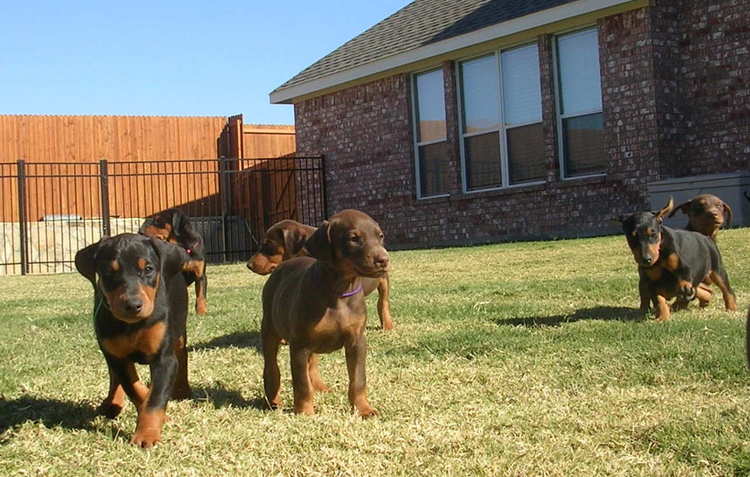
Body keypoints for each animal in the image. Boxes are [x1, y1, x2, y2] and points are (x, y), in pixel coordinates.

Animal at [75, 234, 201, 446]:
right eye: (108, 271)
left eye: (148, 269)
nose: (133, 305)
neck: (132, 325)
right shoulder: (118, 357)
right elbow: (135, 389)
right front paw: (152, 421)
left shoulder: (163, 359)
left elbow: (155, 397)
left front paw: (146, 435)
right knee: (114, 375)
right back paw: (112, 403)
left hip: (179, 331)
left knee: (182, 355)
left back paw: (182, 390)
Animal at [262, 209, 390, 416]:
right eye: (354, 238)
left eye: (380, 236)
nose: (384, 260)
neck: (340, 290)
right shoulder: (299, 345)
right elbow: (301, 384)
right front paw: (305, 412)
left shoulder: (357, 342)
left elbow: (358, 379)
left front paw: (363, 409)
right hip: (270, 330)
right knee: (271, 367)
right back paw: (273, 399)